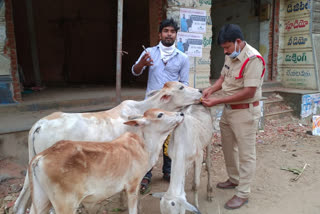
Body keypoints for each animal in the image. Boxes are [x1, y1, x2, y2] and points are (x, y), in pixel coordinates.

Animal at [29, 108, 185, 214]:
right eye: (160, 114)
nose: (181, 114)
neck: (144, 146)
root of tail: (42, 156)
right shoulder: (132, 185)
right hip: (65, 204)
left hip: (41, 198)